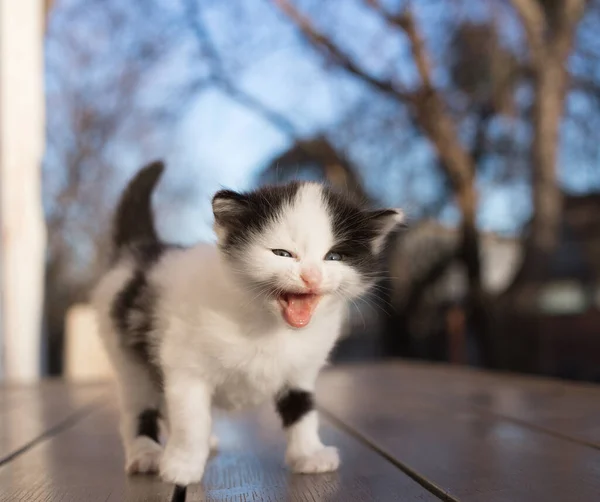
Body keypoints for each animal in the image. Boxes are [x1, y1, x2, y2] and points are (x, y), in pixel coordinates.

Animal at [92, 161, 404, 486]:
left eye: (334, 256)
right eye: (282, 253)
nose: (311, 276)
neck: (267, 325)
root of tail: (142, 249)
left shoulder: (301, 370)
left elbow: (303, 410)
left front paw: (309, 454)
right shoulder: (185, 365)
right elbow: (191, 418)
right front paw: (182, 464)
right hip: (125, 353)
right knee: (138, 406)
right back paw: (145, 452)